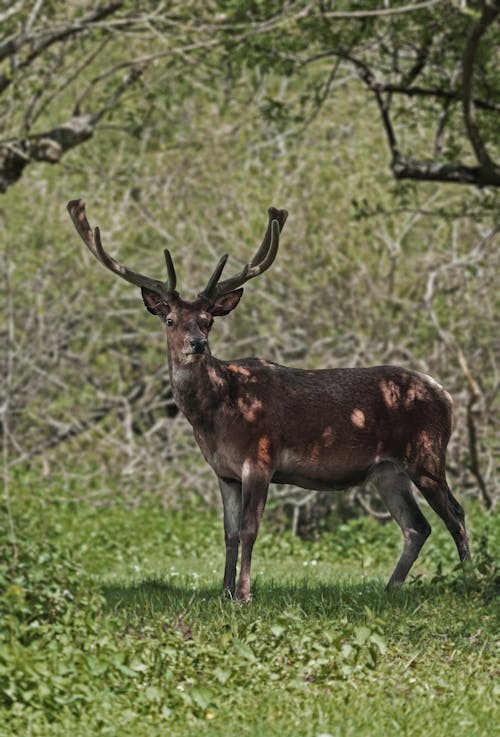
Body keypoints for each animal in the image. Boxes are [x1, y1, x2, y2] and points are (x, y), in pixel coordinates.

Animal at [68, 198, 470, 600]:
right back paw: (390, 587)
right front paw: (224, 591)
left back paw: (469, 579)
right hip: (387, 471)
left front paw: (244, 594)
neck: (218, 415)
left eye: (208, 320)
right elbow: (229, 534)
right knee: (417, 526)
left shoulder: (260, 458)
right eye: (169, 320)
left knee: (455, 513)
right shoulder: (224, 472)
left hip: (426, 453)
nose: (198, 344)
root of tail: (446, 395)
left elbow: (249, 529)